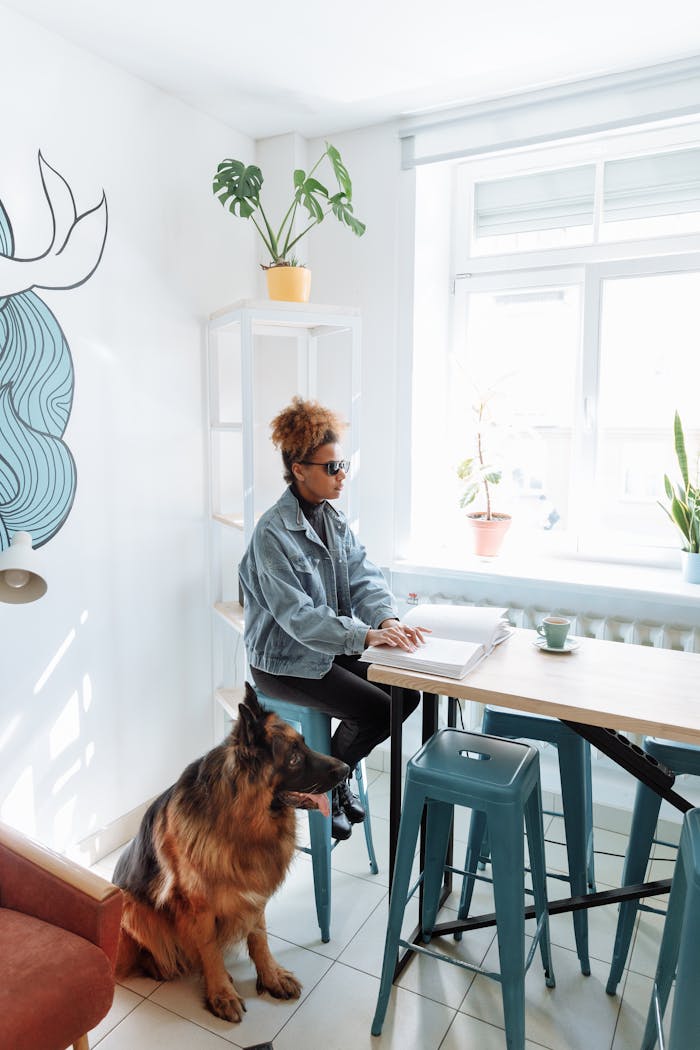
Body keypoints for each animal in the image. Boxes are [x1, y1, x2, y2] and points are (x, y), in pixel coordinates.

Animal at [112, 684, 350, 1020]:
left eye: (305, 744)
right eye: (293, 759)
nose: (346, 769)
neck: (240, 821)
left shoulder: (254, 892)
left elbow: (259, 937)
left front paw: (270, 976)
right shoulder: (198, 905)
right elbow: (210, 949)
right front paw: (221, 992)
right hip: (132, 907)